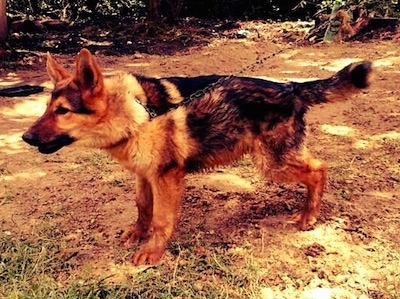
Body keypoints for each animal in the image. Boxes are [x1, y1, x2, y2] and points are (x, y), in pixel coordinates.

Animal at [21, 49, 372, 268]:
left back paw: (309, 216)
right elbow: (143, 207)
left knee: (320, 170)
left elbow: (161, 220)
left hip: (272, 164)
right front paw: (138, 233)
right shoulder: (144, 175)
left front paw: (152, 251)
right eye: (47, 108)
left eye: (62, 111)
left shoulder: (166, 177)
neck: (134, 114)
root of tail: (291, 87)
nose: (25, 138)